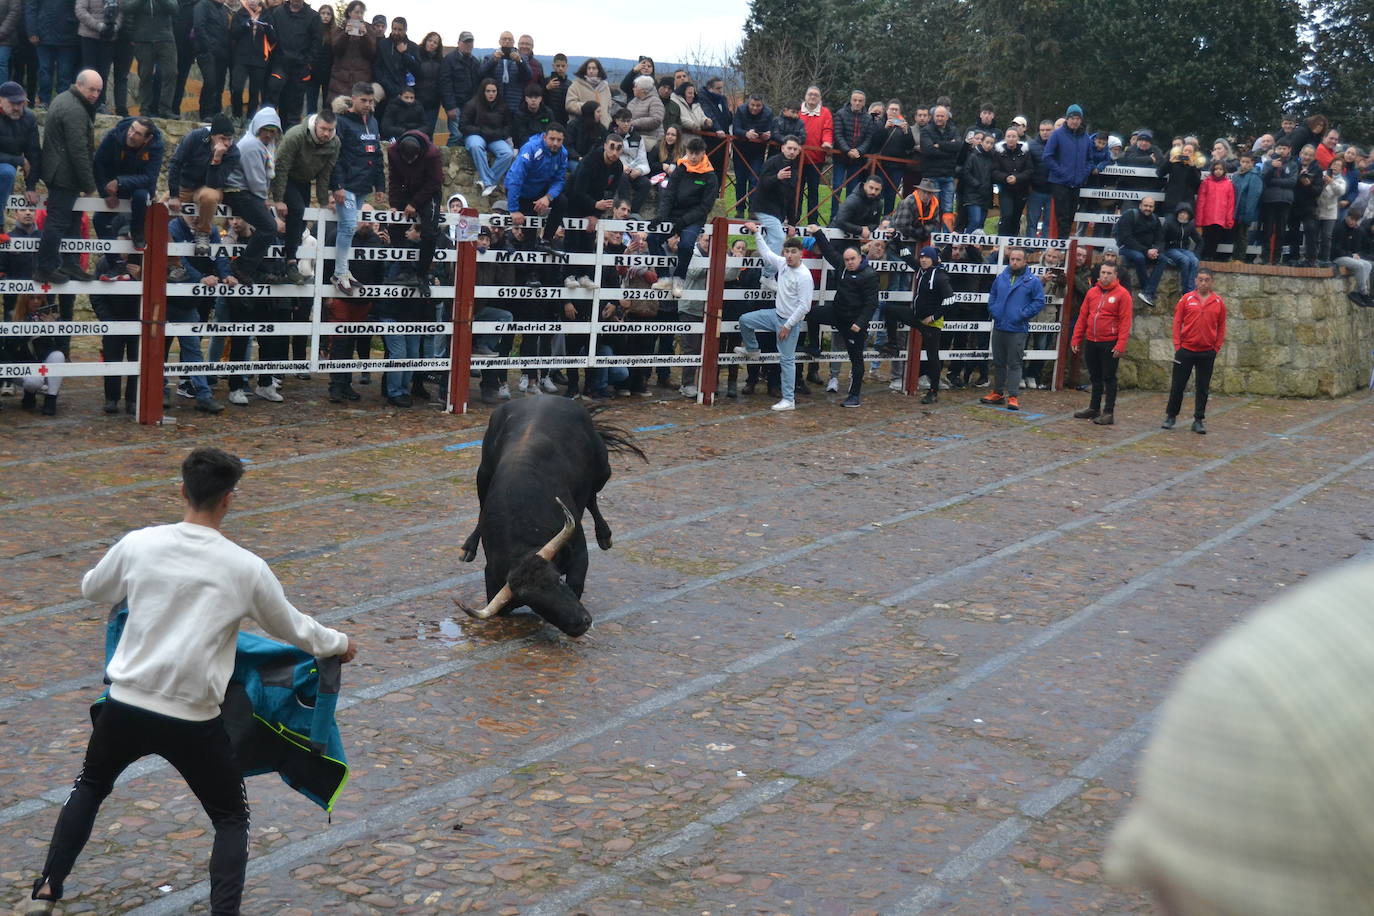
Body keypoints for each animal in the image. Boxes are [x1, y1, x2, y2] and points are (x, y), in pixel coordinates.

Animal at [453, 401, 640, 637]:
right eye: (532, 602)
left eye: (558, 580)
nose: (580, 623)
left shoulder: (580, 553)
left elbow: (577, 583)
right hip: (482, 475)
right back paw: (468, 547)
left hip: (603, 470)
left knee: (592, 496)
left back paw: (604, 536)